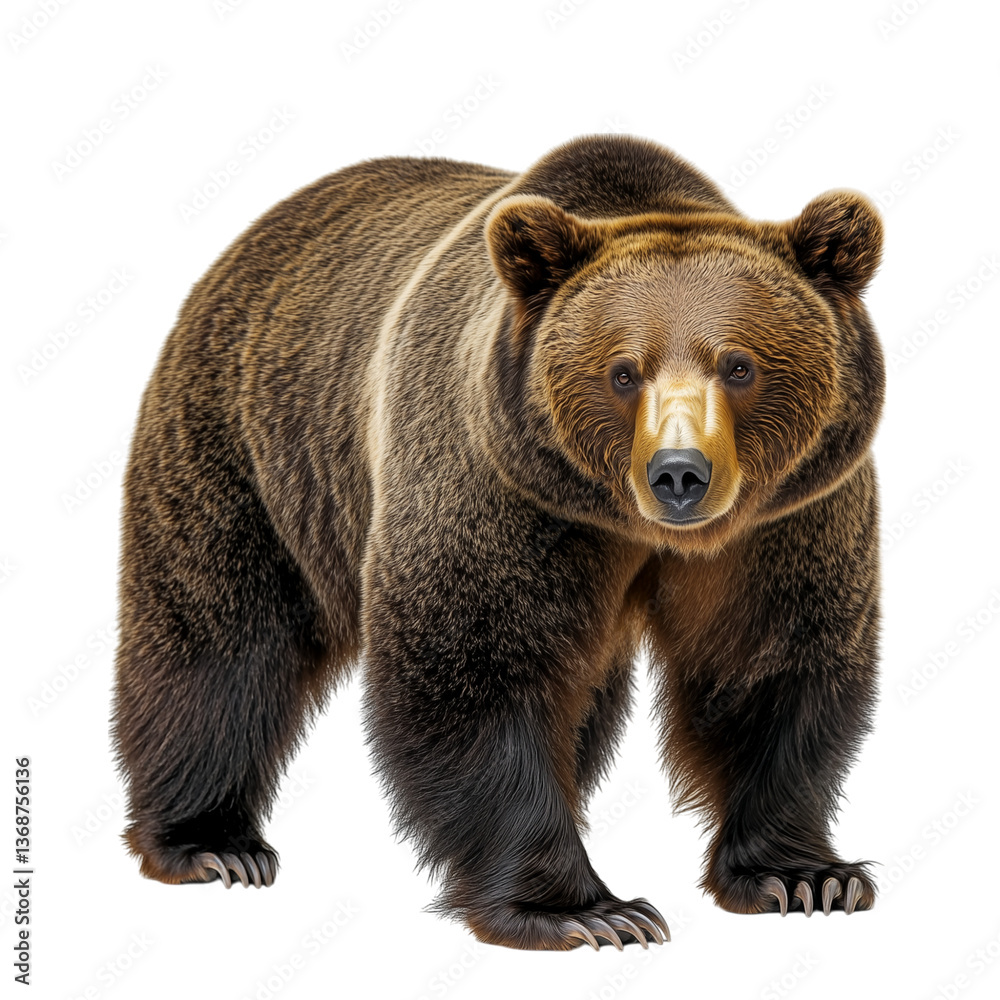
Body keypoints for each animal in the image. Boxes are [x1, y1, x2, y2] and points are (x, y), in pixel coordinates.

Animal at [111, 134, 885, 951]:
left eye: (739, 364)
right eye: (623, 371)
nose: (679, 474)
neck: (626, 523)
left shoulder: (786, 516)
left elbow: (767, 663)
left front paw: (806, 876)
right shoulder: (497, 483)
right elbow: (478, 668)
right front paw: (587, 910)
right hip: (252, 452)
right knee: (219, 639)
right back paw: (212, 844)